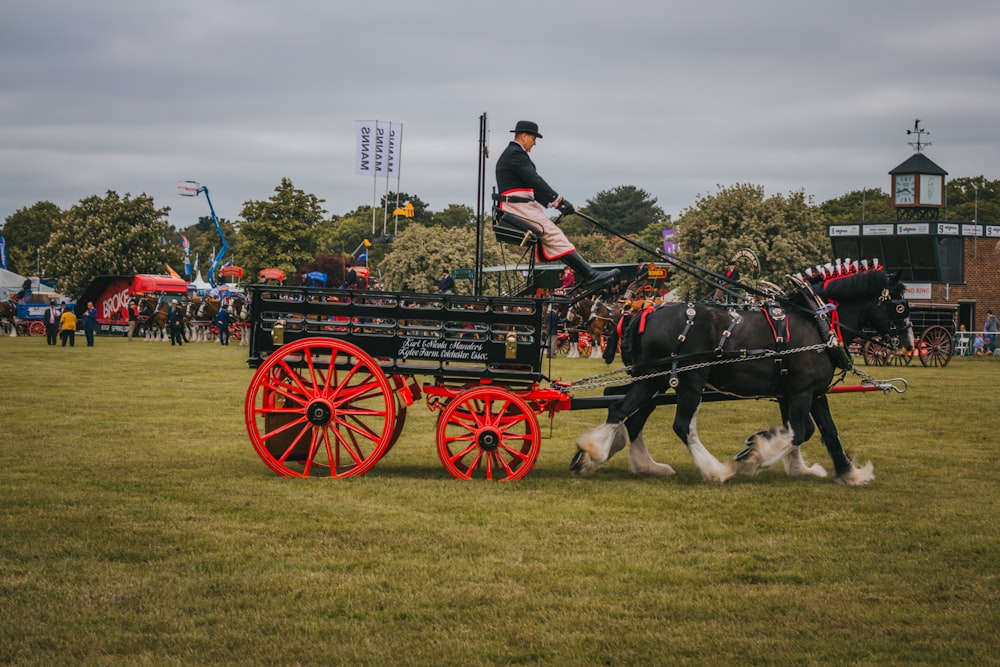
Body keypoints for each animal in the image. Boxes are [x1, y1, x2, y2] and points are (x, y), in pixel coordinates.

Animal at [572, 264, 916, 488]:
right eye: (901, 306)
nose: (909, 344)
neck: (815, 321)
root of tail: (643, 312)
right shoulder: (802, 392)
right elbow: (800, 432)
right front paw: (756, 455)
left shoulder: (806, 393)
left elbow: (826, 433)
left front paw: (843, 473)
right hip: (690, 380)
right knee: (680, 425)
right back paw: (715, 471)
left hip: (653, 379)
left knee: (624, 411)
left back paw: (611, 458)